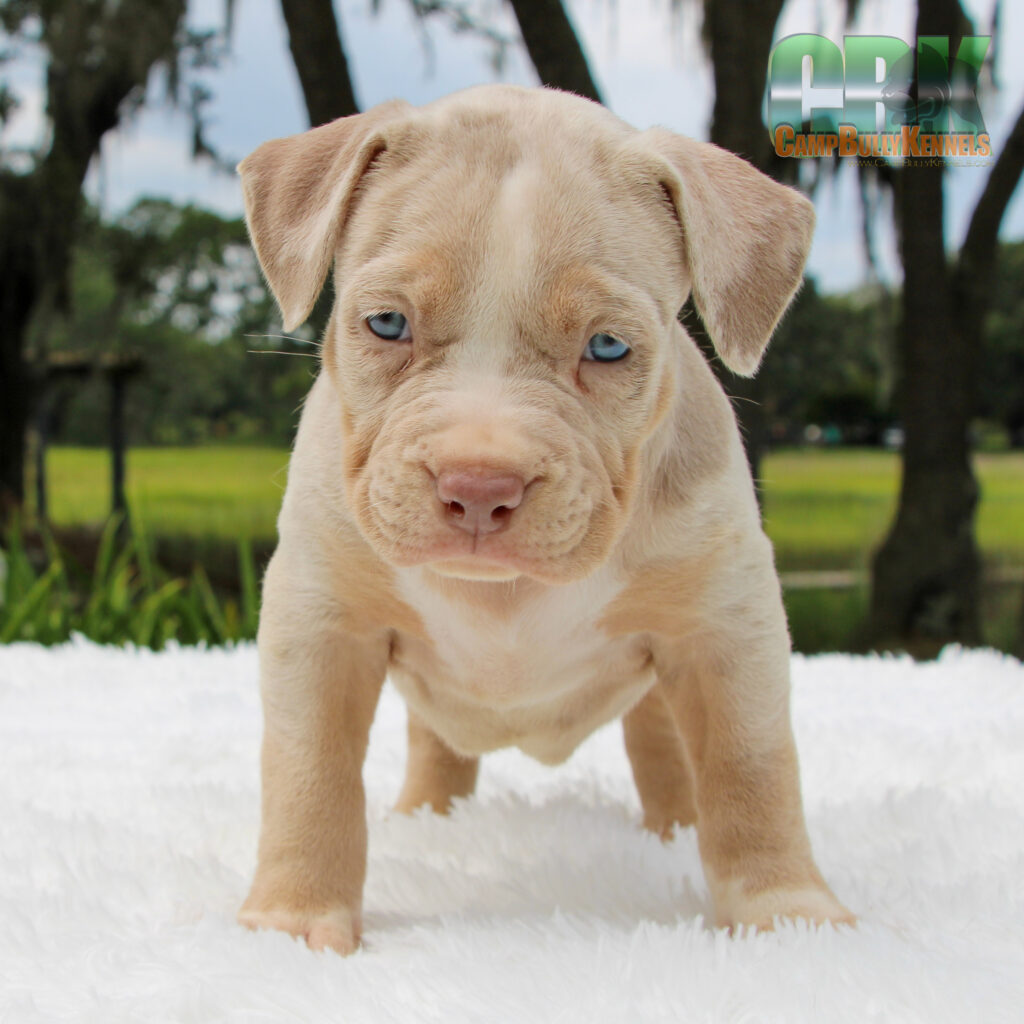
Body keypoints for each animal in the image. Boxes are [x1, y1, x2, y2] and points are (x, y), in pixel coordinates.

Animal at [235, 83, 851, 954]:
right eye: (387, 324)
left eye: (608, 347)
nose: (478, 484)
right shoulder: (322, 621)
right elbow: (309, 767)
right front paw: (292, 923)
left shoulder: (728, 629)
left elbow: (750, 765)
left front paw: (789, 916)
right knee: (436, 738)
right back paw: (429, 816)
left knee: (667, 747)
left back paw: (674, 831)